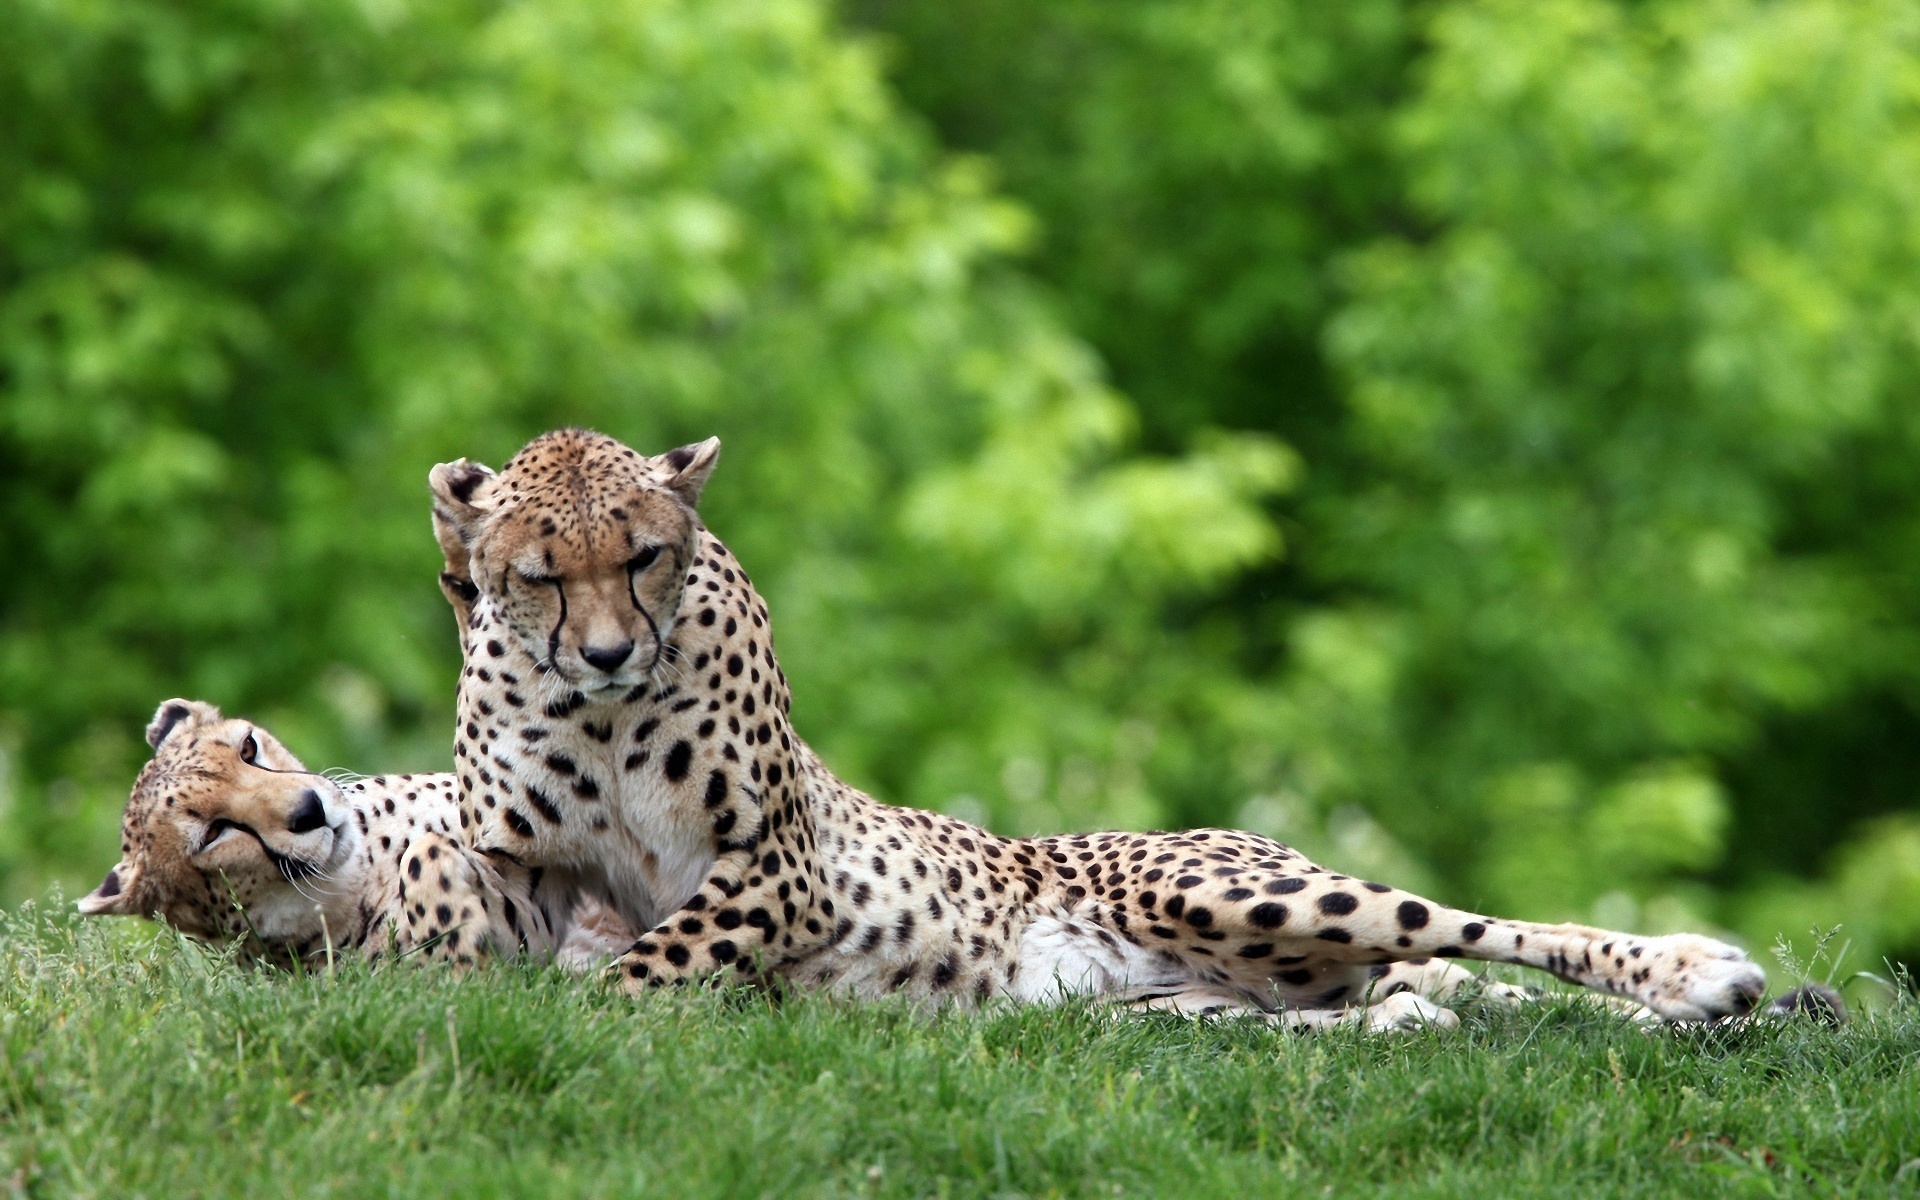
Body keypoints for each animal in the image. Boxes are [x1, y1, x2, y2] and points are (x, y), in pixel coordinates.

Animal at [80, 698, 629, 967]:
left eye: (249, 748)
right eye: (214, 833)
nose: (309, 809)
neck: (362, 869)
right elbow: (426, 859)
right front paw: (458, 959)